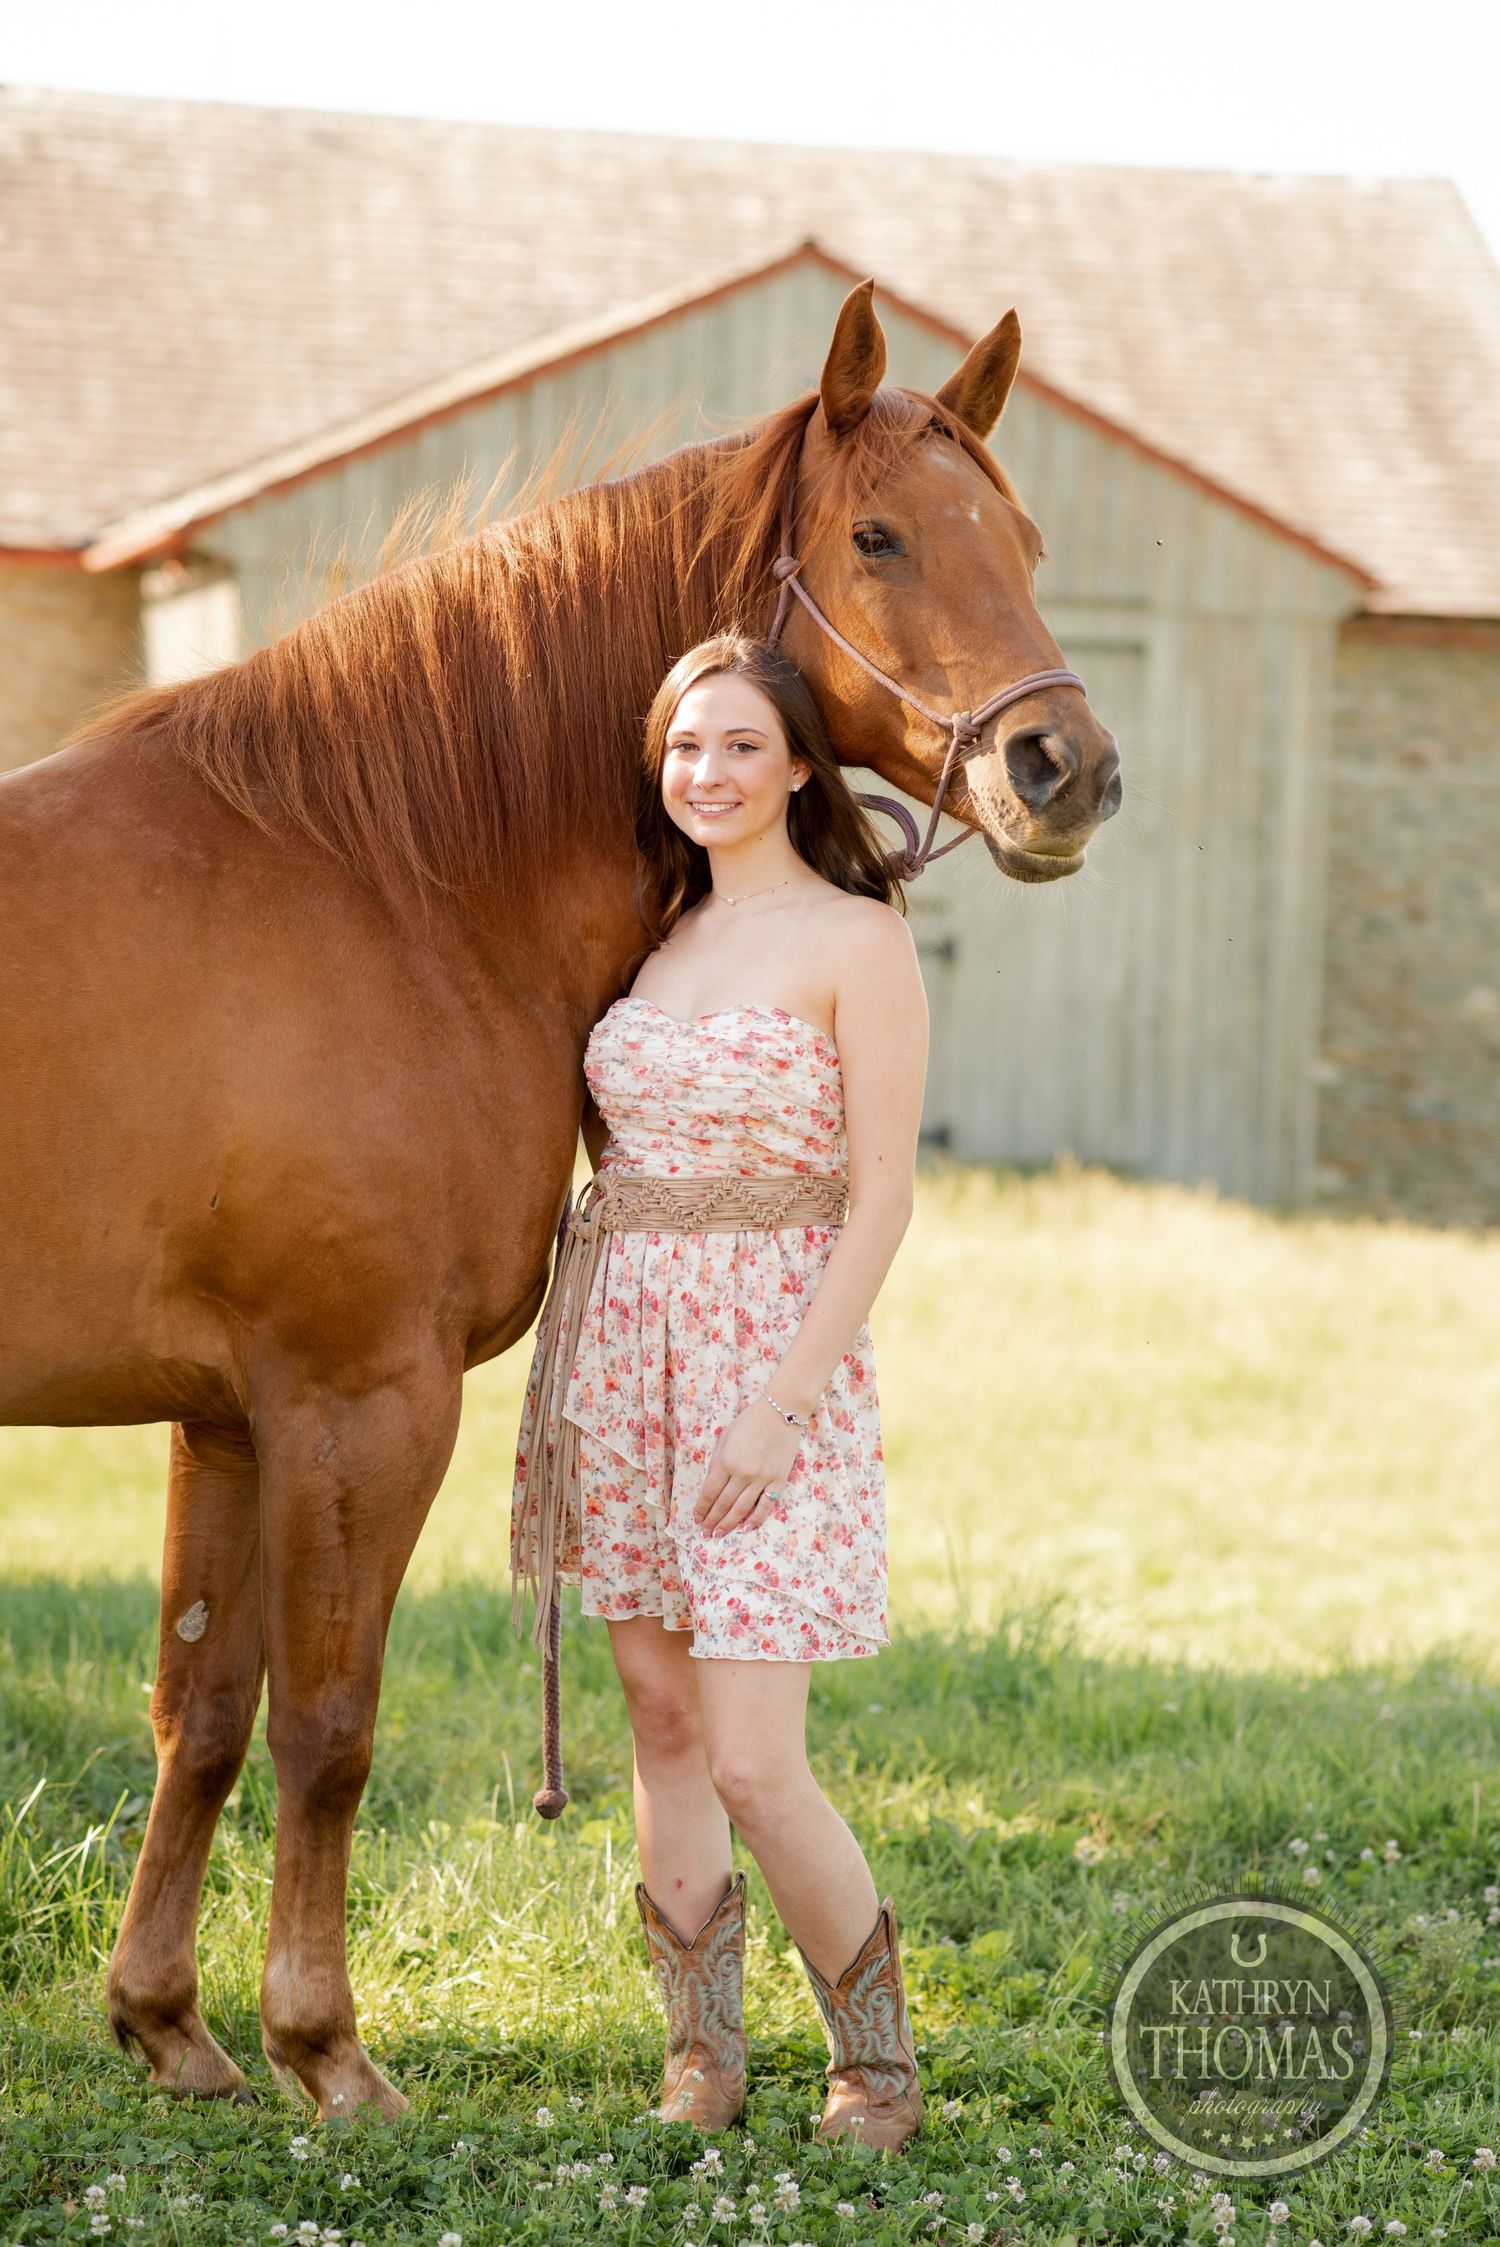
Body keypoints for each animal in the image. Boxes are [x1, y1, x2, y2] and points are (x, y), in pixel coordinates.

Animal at [0, 279, 1120, 2119]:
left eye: (1023, 539)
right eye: (880, 534)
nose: (1065, 768)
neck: (375, 875)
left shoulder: (226, 1416)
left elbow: (205, 1707)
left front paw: (171, 2023)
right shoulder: (357, 1402)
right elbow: (329, 1724)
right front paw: (330, 2052)